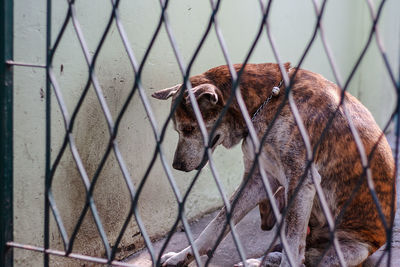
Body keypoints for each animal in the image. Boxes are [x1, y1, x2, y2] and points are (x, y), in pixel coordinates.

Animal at [152, 63, 396, 266]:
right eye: (178, 130)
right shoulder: (258, 180)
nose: (177, 165)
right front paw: (182, 255)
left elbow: (292, 245)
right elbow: (215, 226)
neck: (266, 101)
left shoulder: (301, 182)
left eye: (189, 129)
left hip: (349, 249)